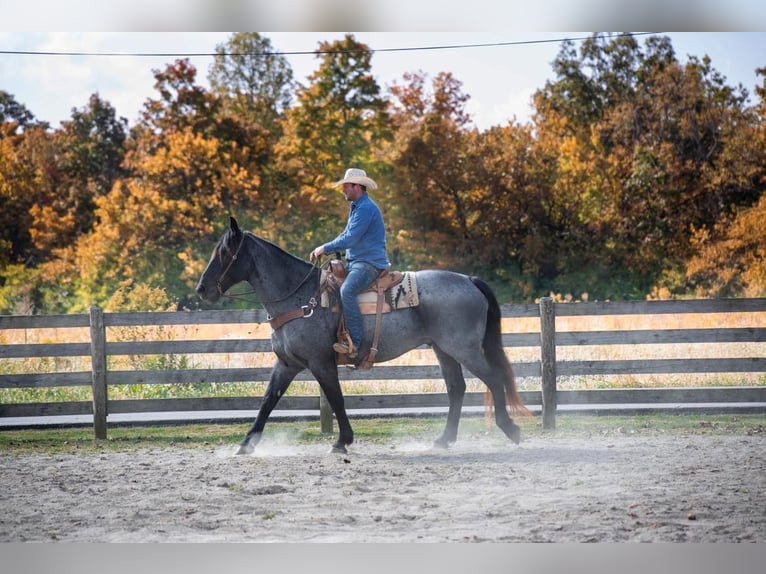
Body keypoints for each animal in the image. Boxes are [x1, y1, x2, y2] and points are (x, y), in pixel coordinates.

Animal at [195, 218, 532, 456]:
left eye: (225, 252)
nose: (202, 289)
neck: (300, 298)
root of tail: (469, 280)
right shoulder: (287, 364)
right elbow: (268, 400)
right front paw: (245, 444)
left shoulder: (321, 362)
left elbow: (336, 398)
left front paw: (342, 441)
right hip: (444, 350)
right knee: (457, 389)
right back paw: (444, 439)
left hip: (464, 349)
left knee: (493, 378)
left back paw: (510, 429)